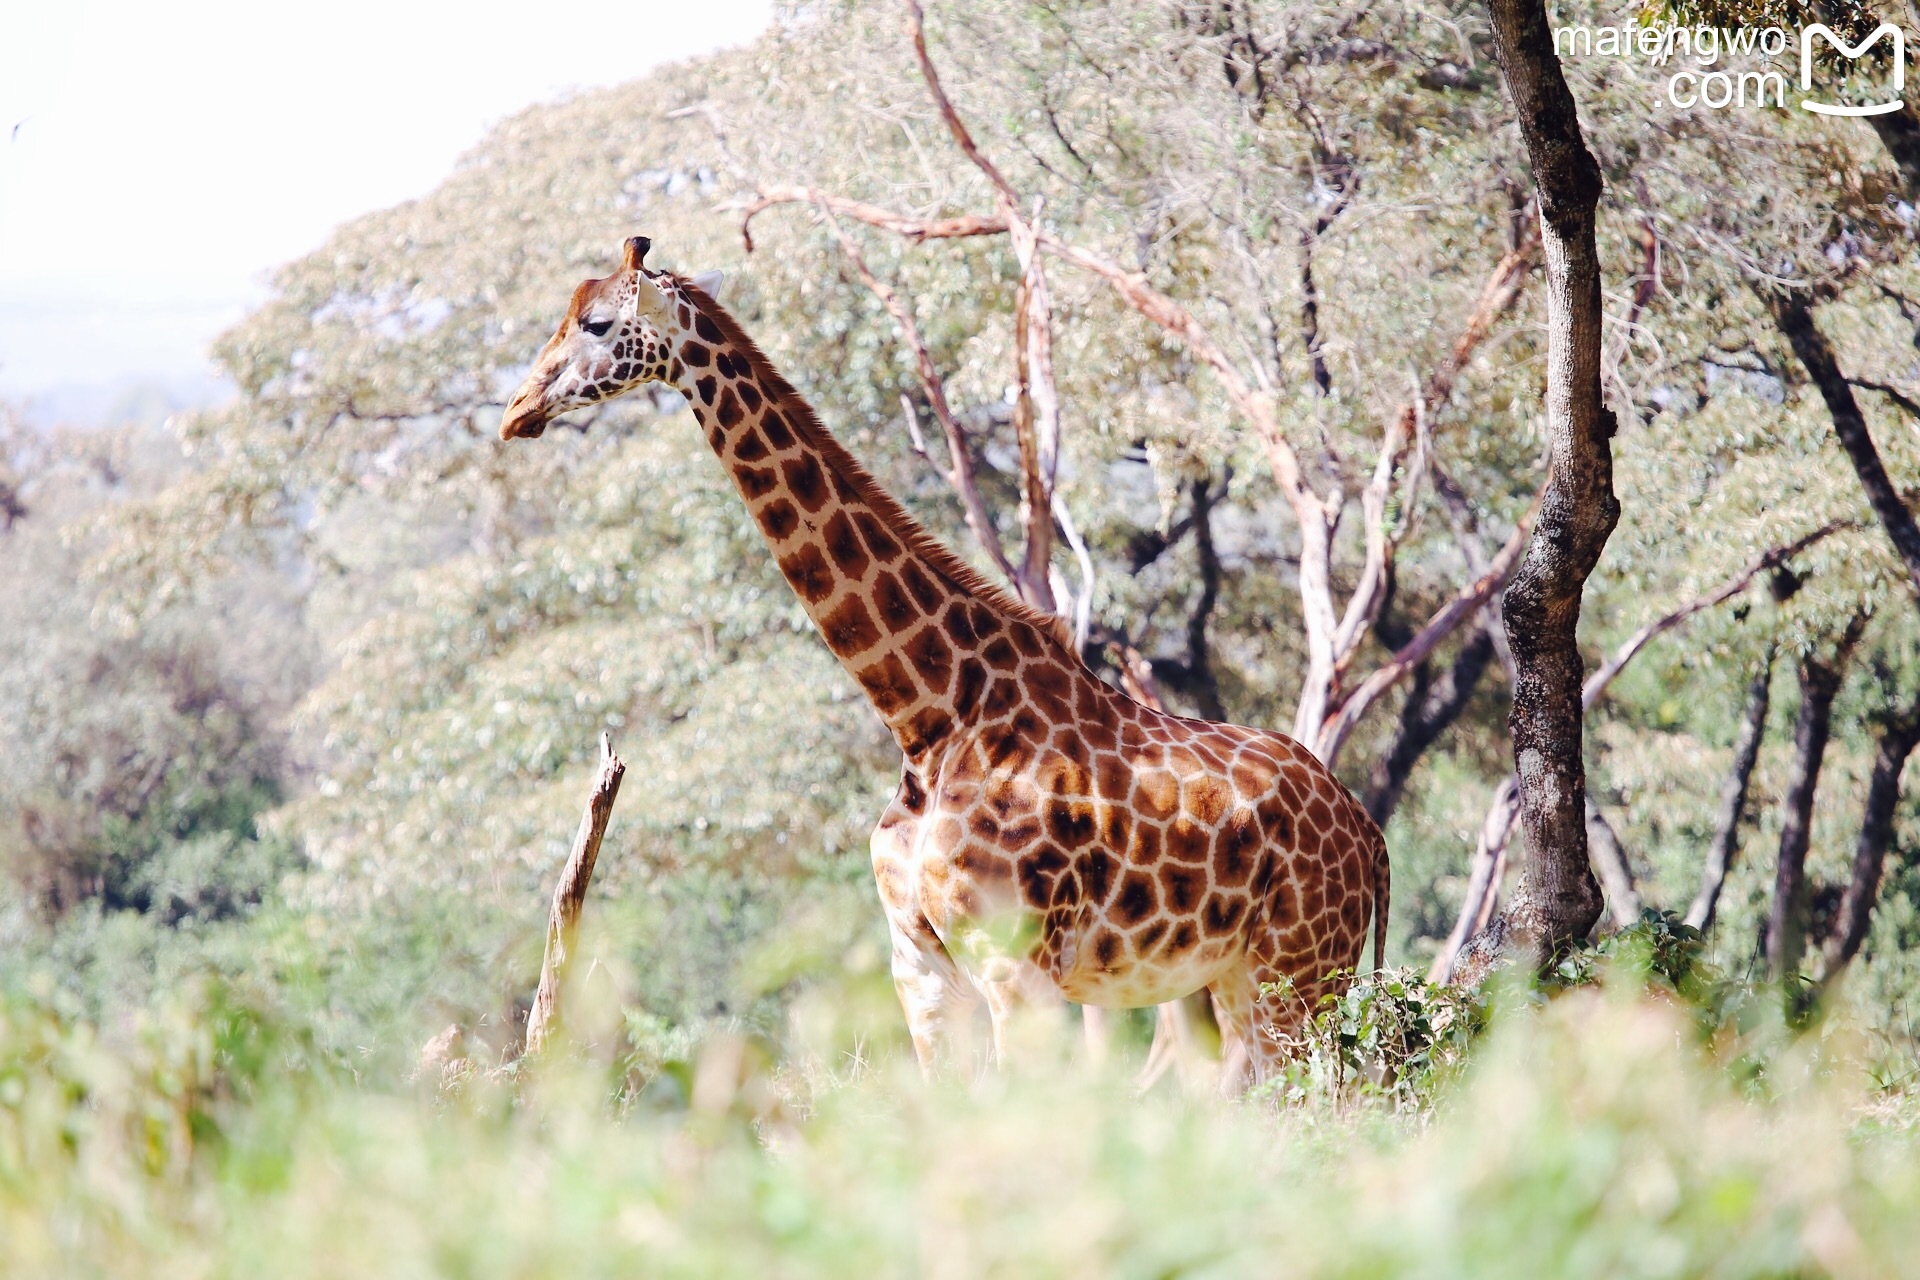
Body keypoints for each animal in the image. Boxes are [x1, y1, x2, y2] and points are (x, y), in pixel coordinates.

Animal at [503, 237, 1390, 1082]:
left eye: (597, 324)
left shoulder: (1016, 969)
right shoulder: (921, 969)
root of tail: (1371, 836)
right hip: (1240, 978)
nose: (515, 411)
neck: (927, 713)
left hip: (1299, 971)